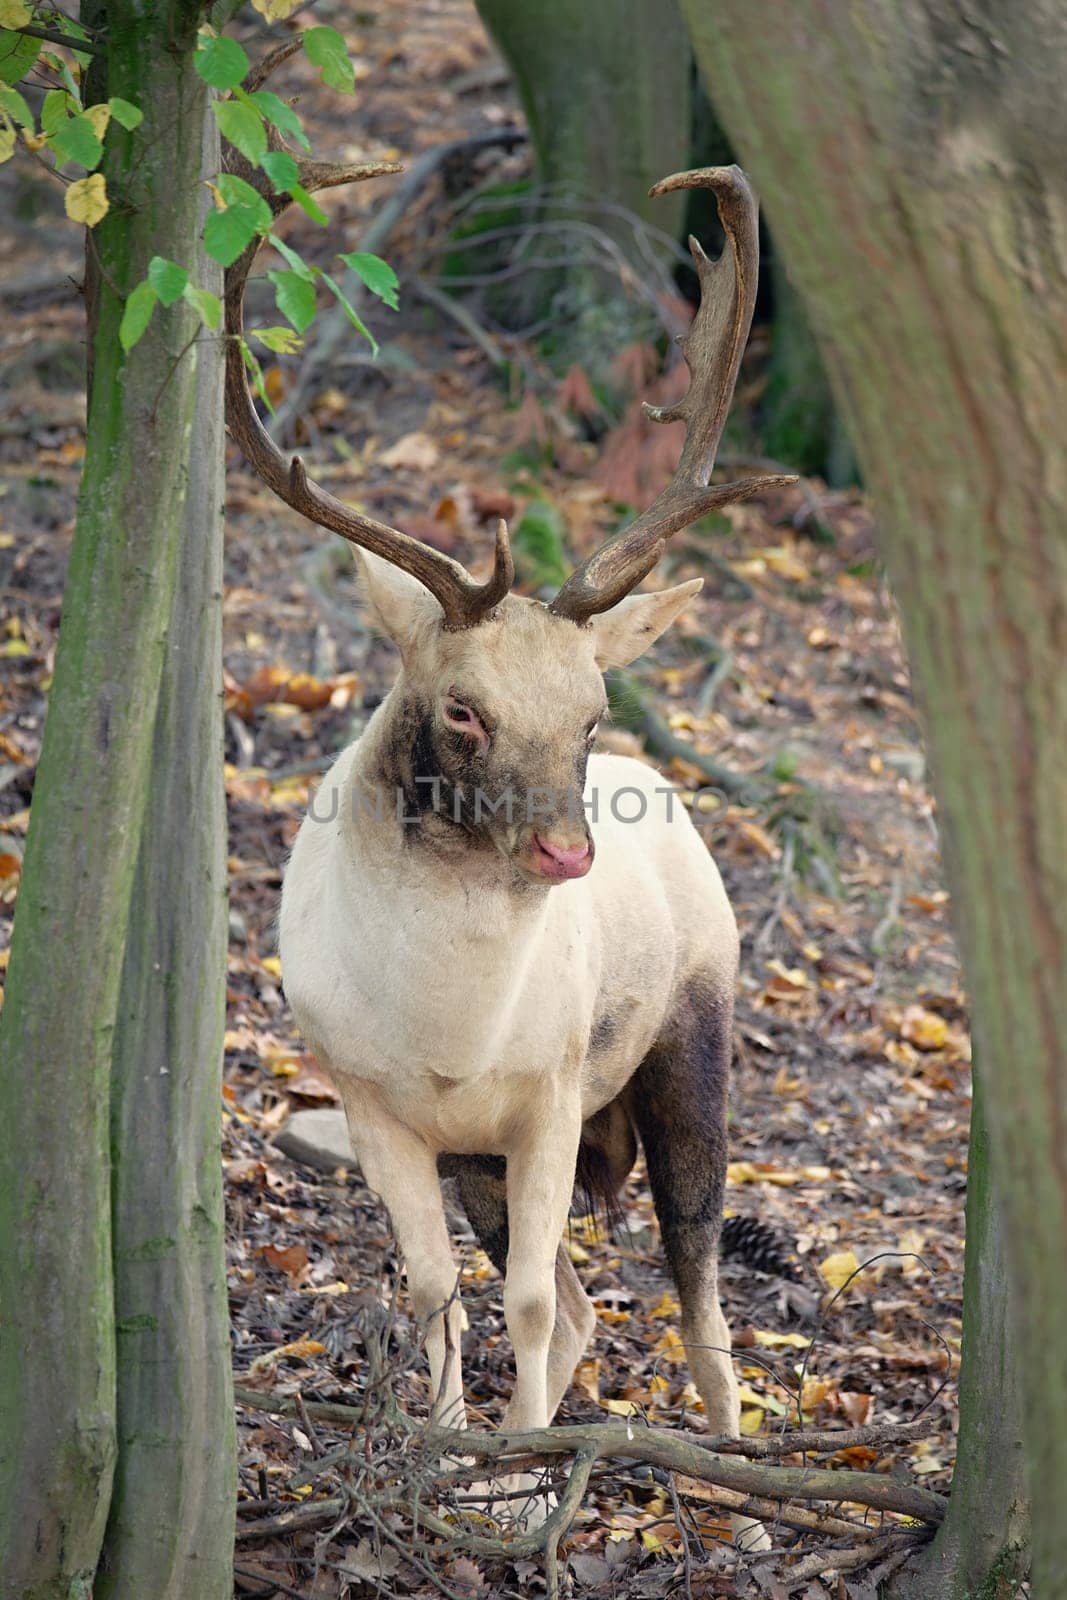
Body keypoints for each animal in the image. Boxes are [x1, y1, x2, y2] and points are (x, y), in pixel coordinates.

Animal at [225, 159, 793, 1536]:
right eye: (464, 710)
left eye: (590, 707)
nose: (565, 855)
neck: (448, 1032)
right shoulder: (368, 1096)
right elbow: (437, 1291)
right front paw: (448, 1463)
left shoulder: (545, 1090)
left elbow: (530, 1299)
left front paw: (529, 1480)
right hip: (492, 1154)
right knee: (587, 1304)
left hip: (688, 1038)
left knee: (693, 1280)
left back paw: (741, 1486)